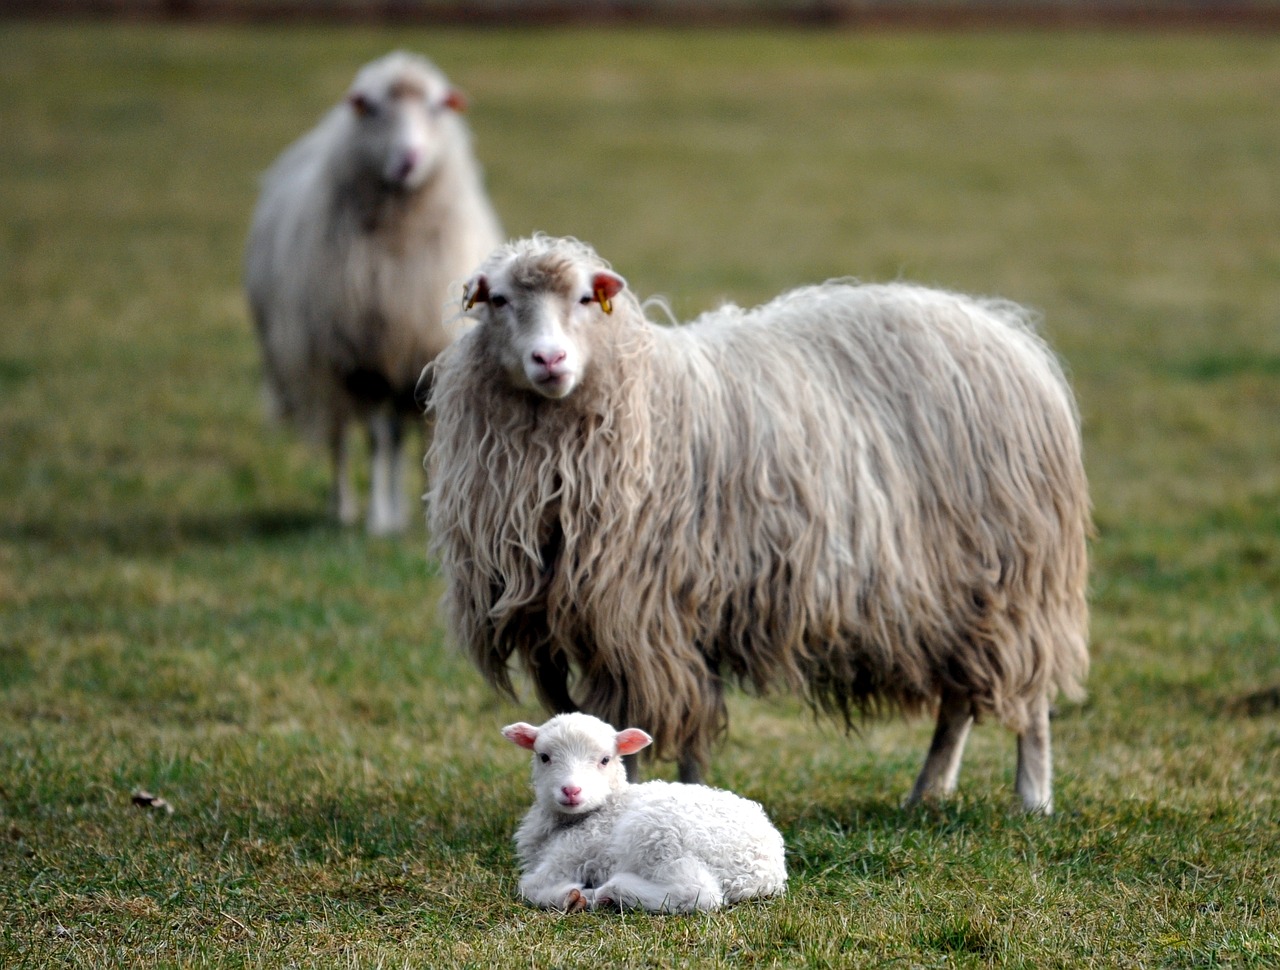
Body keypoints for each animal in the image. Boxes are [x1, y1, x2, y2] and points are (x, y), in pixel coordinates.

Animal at [244, 51, 499, 540]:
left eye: (436, 109)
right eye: (376, 110)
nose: (409, 159)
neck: (400, 238)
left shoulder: (422, 352)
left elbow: (422, 440)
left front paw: (424, 515)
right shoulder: (358, 357)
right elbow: (376, 441)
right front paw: (378, 519)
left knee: (394, 436)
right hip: (329, 367)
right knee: (343, 438)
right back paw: (344, 507)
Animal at [430, 238, 1090, 818]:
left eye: (587, 300)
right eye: (499, 300)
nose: (550, 360)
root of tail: (1007, 333)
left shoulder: (643, 616)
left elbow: (634, 734)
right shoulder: (629, 618)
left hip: (1014, 579)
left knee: (1029, 702)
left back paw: (1033, 799)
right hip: (955, 596)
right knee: (957, 703)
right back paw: (928, 793)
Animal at [501, 716, 783, 911]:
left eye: (605, 759)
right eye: (544, 757)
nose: (571, 790)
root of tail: (764, 873)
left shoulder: (573, 853)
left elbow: (529, 887)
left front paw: (570, 897)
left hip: (660, 837)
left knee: (698, 893)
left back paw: (610, 891)